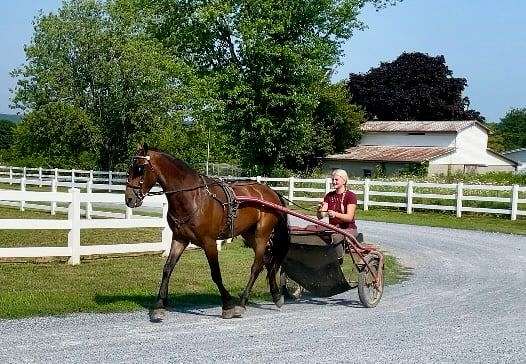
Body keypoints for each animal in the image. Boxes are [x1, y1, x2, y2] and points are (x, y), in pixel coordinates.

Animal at [125, 144, 290, 320]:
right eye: (130, 168)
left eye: (140, 168)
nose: (128, 199)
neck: (192, 197)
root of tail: (271, 192)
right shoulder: (180, 239)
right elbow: (167, 268)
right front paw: (159, 305)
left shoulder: (209, 242)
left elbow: (215, 273)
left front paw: (228, 304)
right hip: (249, 234)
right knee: (267, 260)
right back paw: (276, 295)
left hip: (262, 234)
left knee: (257, 266)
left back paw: (242, 303)